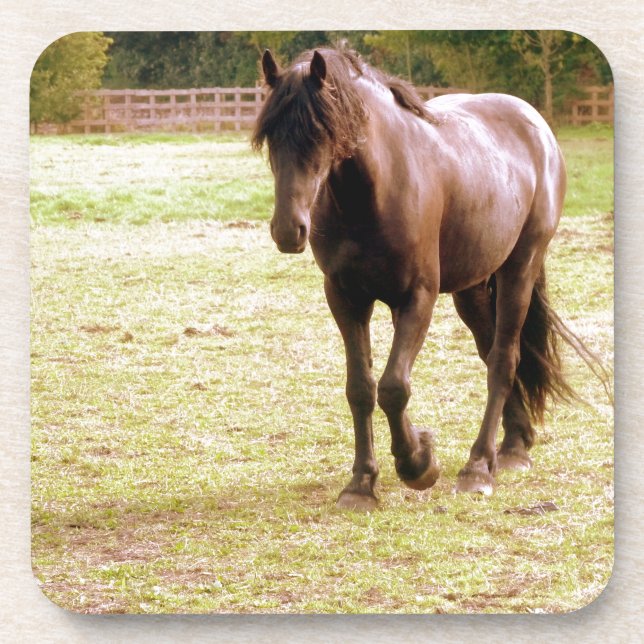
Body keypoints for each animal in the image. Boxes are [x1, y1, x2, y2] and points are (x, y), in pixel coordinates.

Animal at [252, 47, 590, 510]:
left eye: (320, 133)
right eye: (270, 136)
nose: (289, 230)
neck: (374, 192)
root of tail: (534, 123)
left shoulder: (417, 297)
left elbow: (394, 386)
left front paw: (417, 465)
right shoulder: (346, 298)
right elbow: (362, 388)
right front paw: (363, 482)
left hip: (520, 267)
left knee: (504, 360)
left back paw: (478, 468)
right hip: (471, 289)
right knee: (490, 352)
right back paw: (513, 445)